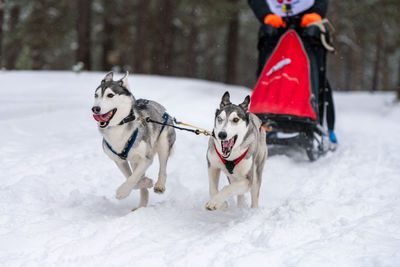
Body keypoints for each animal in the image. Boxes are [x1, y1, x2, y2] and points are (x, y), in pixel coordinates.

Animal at [94, 72, 177, 210]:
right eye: (96, 95)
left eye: (110, 95)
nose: (95, 108)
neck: (119, 127)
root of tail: (162, 108)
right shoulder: (119, 161)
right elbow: (132, 178)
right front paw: (146, 182)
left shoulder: (146, 158)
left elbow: (133, 179)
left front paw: (122, 192)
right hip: (134, 160)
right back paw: (142, 205)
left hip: (163, 143)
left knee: (163, 168)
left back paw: (159, 185)